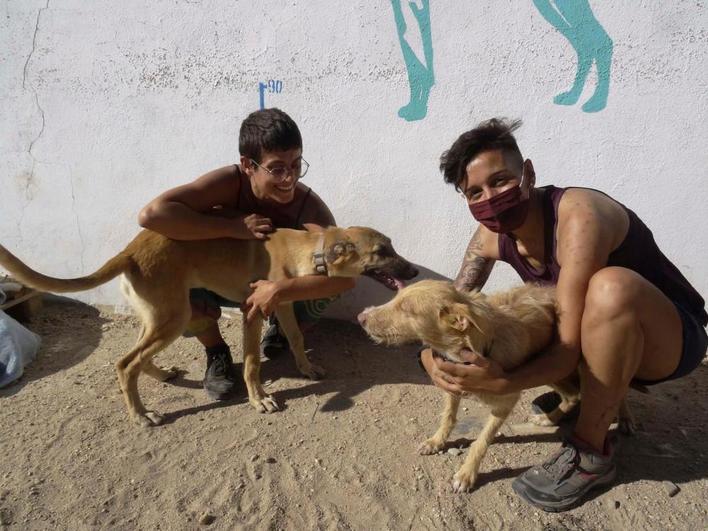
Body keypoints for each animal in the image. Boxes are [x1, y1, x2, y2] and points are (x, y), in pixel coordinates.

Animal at [0, 228, 418, 428]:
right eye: (382, 252)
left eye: (393, 246)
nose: (414, 272)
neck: (312, 250)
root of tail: (130, 250)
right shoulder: (253, 311)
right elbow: (252, 363)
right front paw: (259, 398)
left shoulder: (281, 304)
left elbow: (297, 338)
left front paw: (307, 368)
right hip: (172, 318)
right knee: (124, 364)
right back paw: (141, 415)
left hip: (160, 316)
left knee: (134, 358)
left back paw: (163, 375)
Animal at [356, 280, 580, 492]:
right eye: (397, 296)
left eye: (406, 309)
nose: (360, 317)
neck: (479, 347)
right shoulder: (450, 383)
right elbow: (448, 417)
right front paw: (436, 441)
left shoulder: (506, 402)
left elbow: (481, 442)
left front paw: (466, 474)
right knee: (572, 395)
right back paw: (549, 418)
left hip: (551, 366)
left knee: (574, 395)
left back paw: (549, 417)